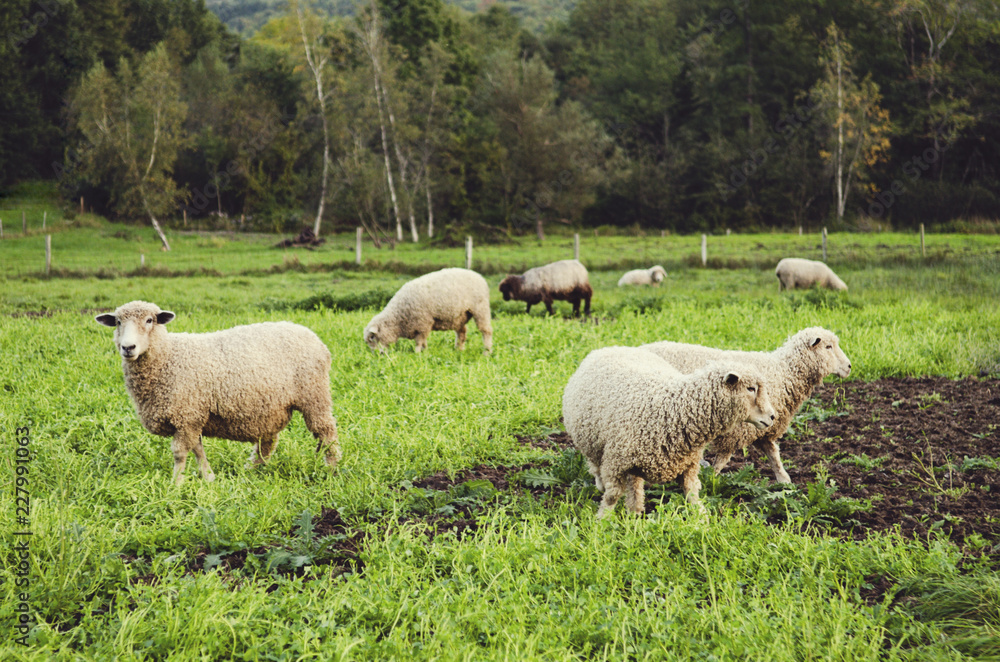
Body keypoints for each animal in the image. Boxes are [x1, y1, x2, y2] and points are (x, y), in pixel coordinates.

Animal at [96, 304, 342, 486]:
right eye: (118, 322)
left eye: (149, 320)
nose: (128, 347)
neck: (168, 356)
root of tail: (312, 335)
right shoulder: (193, 415)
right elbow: (198, 448)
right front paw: (208, 477)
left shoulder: (186, 414)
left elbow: (180, 452)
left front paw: (176, 484)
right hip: (270, 405)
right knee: (268, 441)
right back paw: (253, 469)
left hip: (314, 395)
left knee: (325, 430)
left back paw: (332, 467)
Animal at [366, 268, 494, 356]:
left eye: (372, 338)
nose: (378, 355)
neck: (398, 319)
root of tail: (479, 276)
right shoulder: (421, 326)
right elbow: (423, 342)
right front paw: (425, 352)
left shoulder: (423, 323)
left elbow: (419, 342)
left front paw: (417, 354)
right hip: (460, 316)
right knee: (462, 333)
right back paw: (459, 350)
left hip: (480, 308)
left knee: (486, 331)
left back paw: (487, 351)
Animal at [564, 348, 772, 520]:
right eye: (751, 388)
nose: (772, 416)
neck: (674, 409)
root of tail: (610, 347)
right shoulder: (616, 462)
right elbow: (612, 496)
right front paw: (602, 522)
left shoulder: (689, 466)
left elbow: (692, 496)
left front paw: (703, 521)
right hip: (592, 442)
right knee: (596, 467)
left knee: (635, 483)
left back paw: (635, 510)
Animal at [640, 330, 852, 486]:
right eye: (828, 346)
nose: (849, 366)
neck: (784, 372)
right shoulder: (738, 429)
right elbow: (722, 461)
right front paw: (710, 480)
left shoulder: (765, 425)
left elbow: (773, 454)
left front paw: (785, 481)